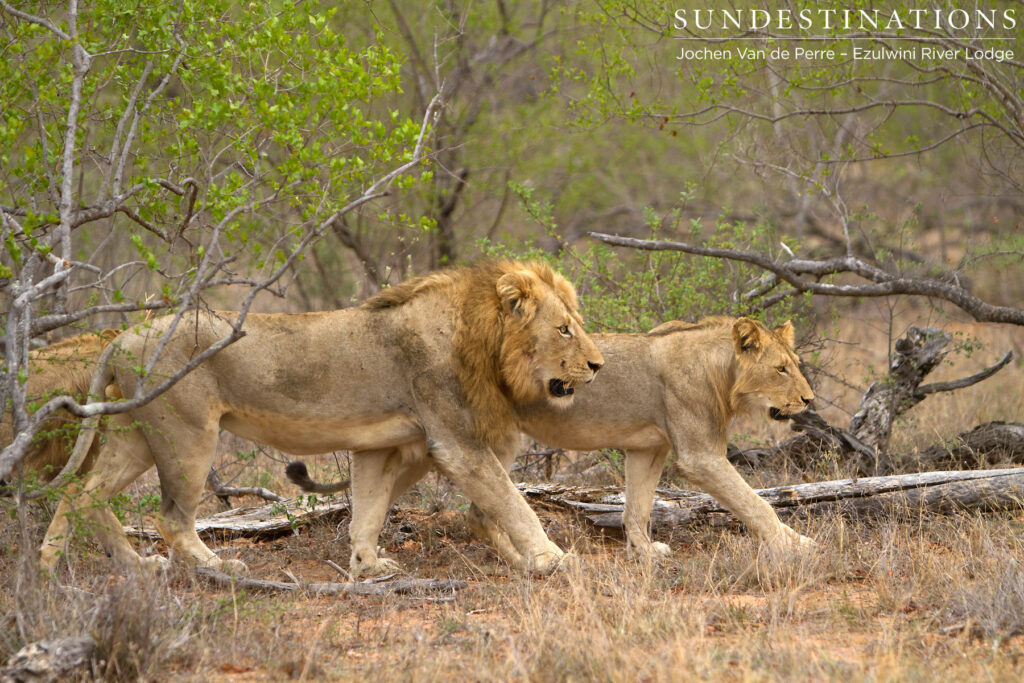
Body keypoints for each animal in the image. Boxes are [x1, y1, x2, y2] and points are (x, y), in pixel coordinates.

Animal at [41, 260, 604, 577]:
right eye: (564, 329)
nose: (599, 366)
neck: (482, 338)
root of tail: (122, 336)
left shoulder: (380, 445)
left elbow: (369, 509)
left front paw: (367, 566)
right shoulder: (457, 443)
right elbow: (514, 503)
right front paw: (553, 559)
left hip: (135, 435)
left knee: (81, 494)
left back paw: (88, 566)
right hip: (188, 435)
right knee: (170, 518)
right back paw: (219, 566)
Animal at [290, 317, 816, 564]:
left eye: (796, 364)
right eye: (781, 369)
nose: (809, 400)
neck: (722, 374)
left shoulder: (648, 448)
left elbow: (638, 507)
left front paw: (644, 553)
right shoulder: (699, 456)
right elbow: (754, 502)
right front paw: (796, 543)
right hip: (491, 436)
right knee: (480, 509)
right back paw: (531, 561)